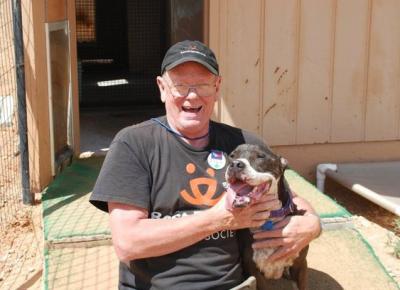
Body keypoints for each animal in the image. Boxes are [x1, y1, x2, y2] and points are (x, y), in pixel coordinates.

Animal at [227, 144, 308, 290]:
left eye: (261, 156)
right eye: (232, 155)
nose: (235, 164)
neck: (270, 219)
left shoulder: (300, 265)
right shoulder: (253, 270)